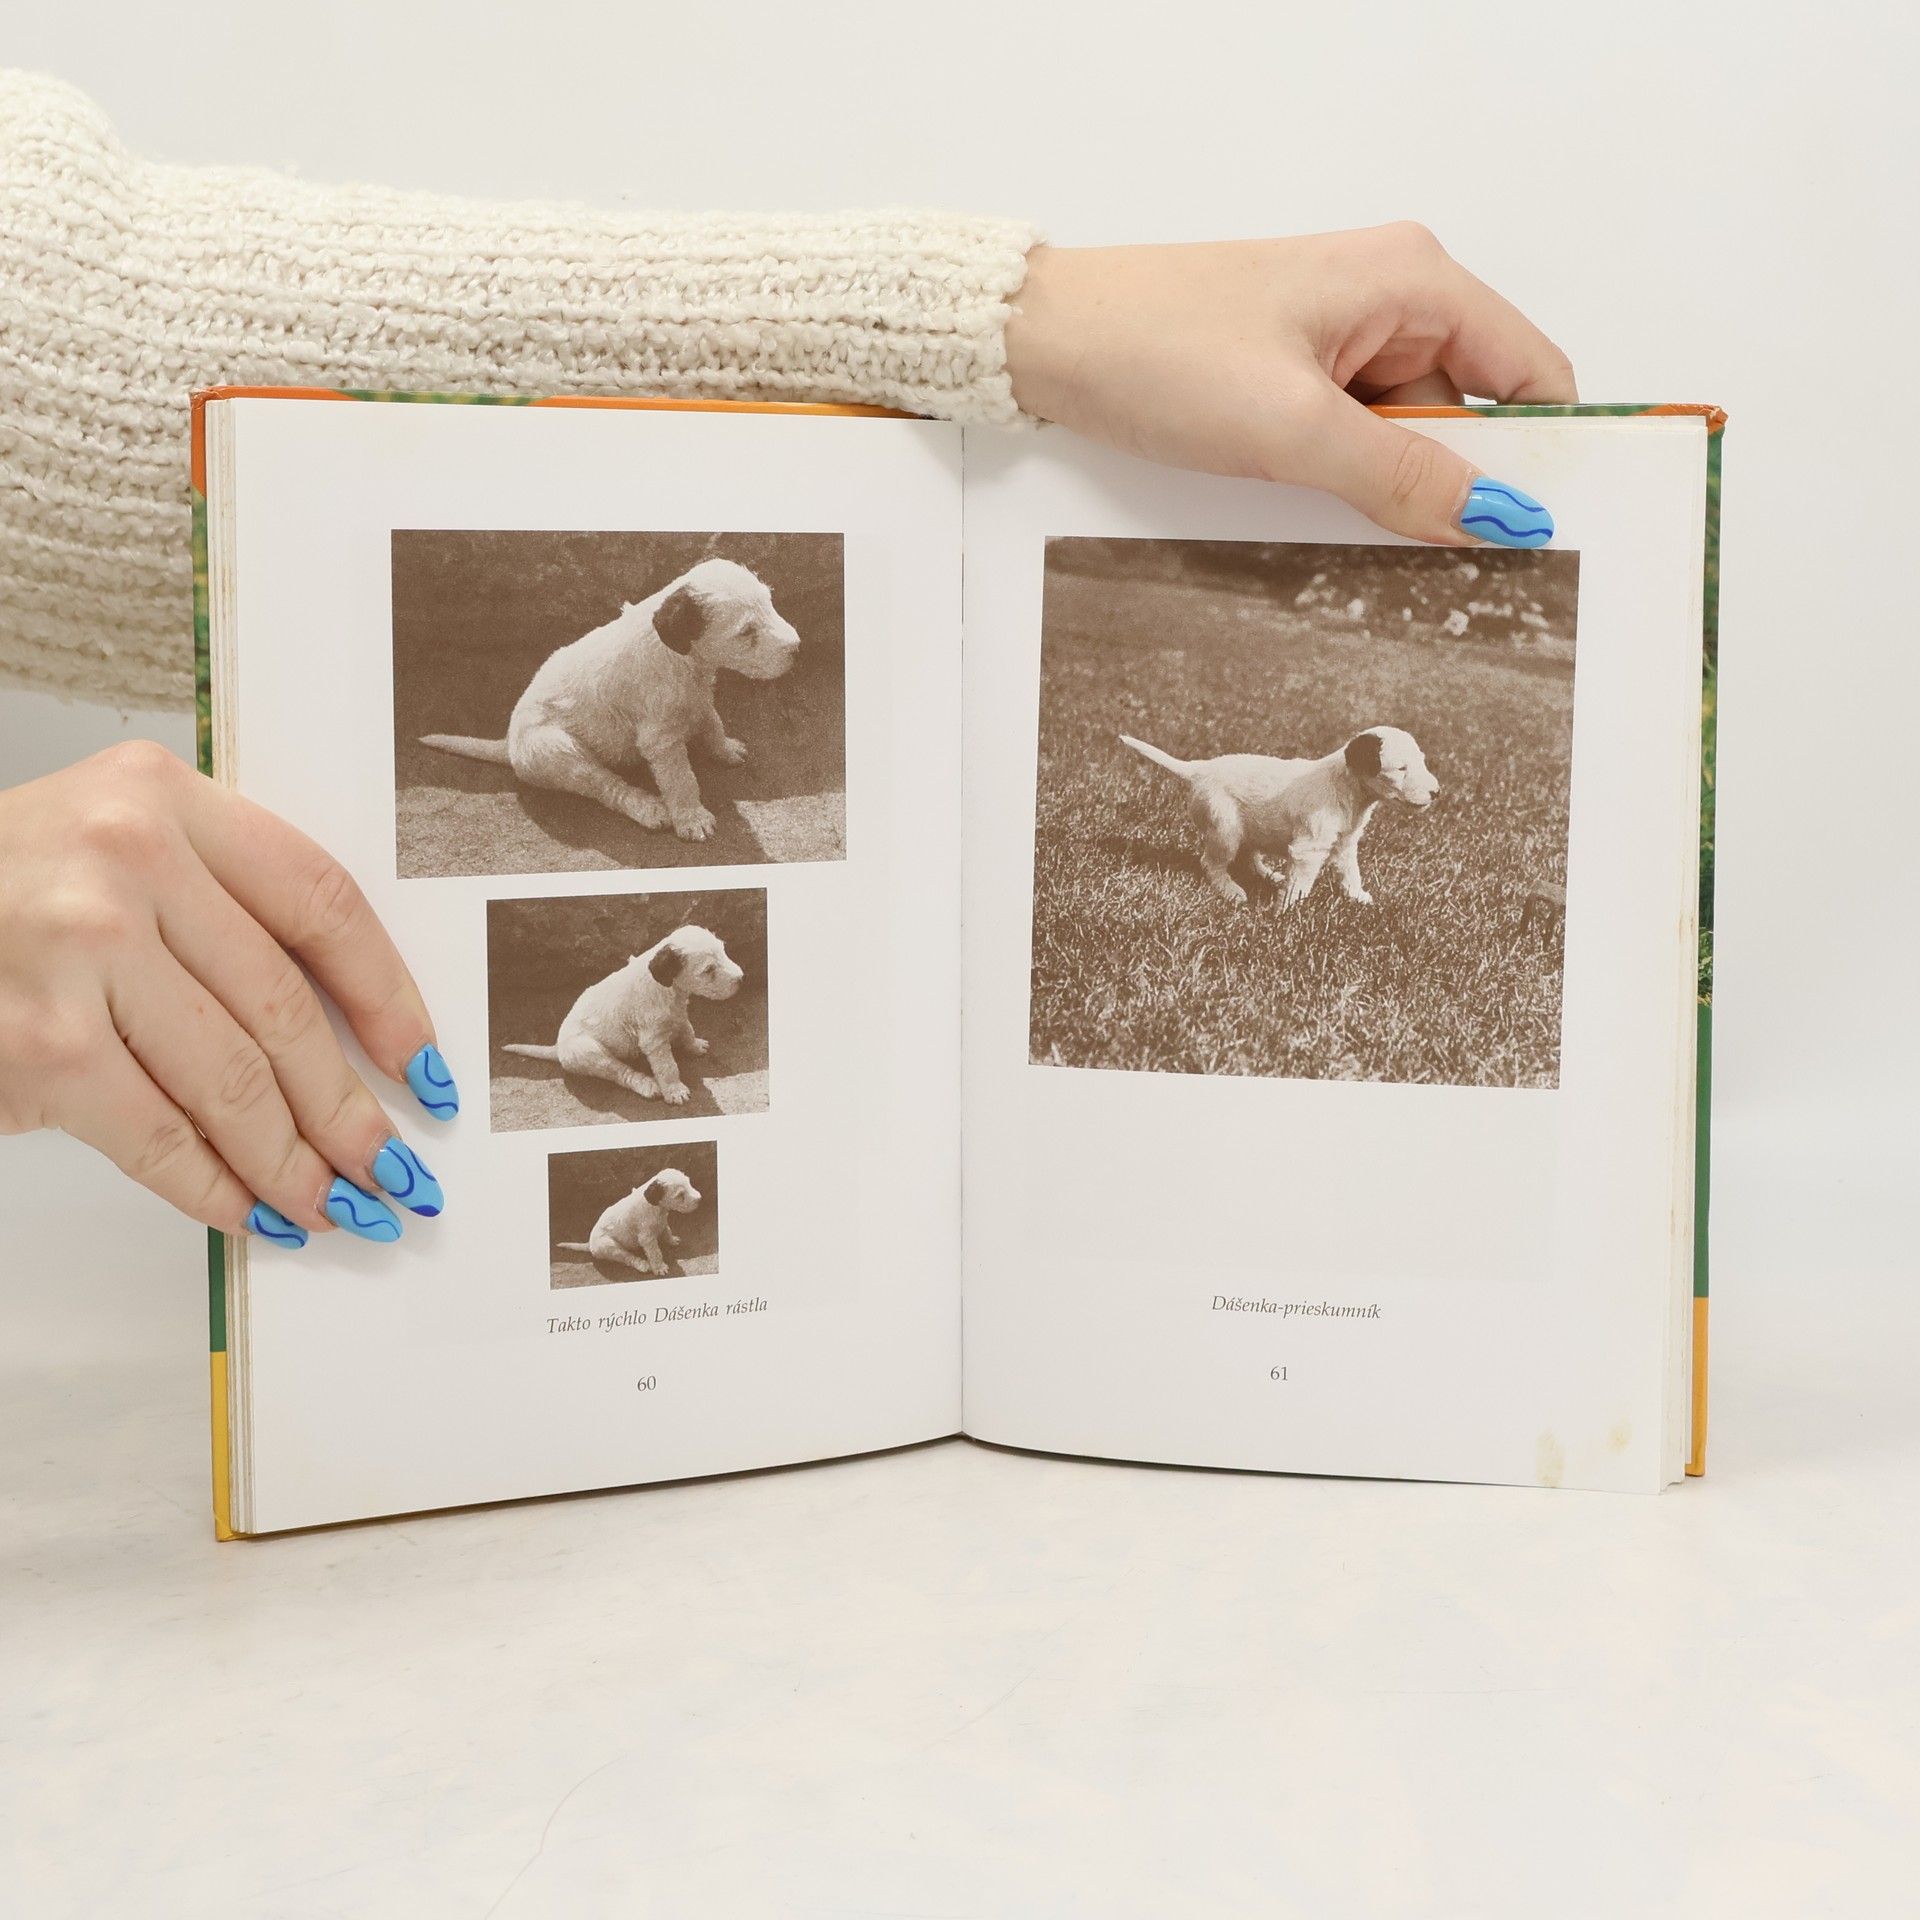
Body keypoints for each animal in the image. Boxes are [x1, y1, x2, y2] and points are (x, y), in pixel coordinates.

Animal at [420, 556, 801, 842]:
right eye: (746, 632)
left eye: (770, 602)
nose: (797, 648)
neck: (682, 657)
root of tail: (510, 745)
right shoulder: (660, 740)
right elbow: (681, 779)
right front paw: (691, 818)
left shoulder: (699, 697)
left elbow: (712, 723)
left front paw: (725, 749)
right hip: (559, 751)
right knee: (606, 786)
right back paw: (647, 808)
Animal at [502, 925, 744, 1106]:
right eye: (709, 970)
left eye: (724, 951)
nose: (741, 978)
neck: (668, 988)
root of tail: (558, 1048)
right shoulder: (654, 1040)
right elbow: (667, 1067)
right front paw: (675, 1090)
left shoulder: (679, 1013)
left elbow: (687, 1029)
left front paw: (694, 1045)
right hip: (589, 1052)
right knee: (620, 1072)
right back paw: (647, 1085)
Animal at [556, 1168, 702, 1278]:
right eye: (680, 1195)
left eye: (689, 1183)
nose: (699, 1199)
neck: (656, 1207)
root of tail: (590, 1244)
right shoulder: (647, 1238)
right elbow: (655, 1253)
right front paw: (659, 1267)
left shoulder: (662, 1221)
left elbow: (667, 1230)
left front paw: (672, 1240)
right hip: (609, 1246)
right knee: (627, 1257)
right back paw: (643, 1265)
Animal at [1120, 727, 1439, 907]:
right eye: (1401, 768)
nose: (1436, 792)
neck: (1344, 785)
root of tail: (1199, 769)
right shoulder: (1309, 849)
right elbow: (1300, 884)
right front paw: (1287, 911)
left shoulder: (1346, 842)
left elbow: (1351, 872)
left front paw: (1357, 896)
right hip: (1225, 829)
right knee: (1212, 862)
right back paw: (1231, 890)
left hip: (1248, 828)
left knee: (1249, 856)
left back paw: (1269, 875)